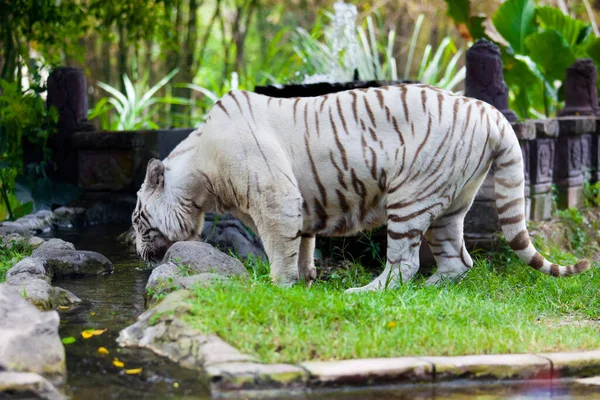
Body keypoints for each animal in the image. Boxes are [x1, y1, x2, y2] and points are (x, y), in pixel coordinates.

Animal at [132, 84, 592, 292]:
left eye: (137, 221)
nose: (136, 249)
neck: (201, 176)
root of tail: (489, 111)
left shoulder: (275, 199)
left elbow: (280, 248)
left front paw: (279, 287)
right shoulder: (301, 204)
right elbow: (304, 243)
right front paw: (307, 278)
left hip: (410, 196)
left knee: (404, 263)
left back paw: (368, 291)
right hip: (450, 205)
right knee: (458, 260)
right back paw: (432, 291)